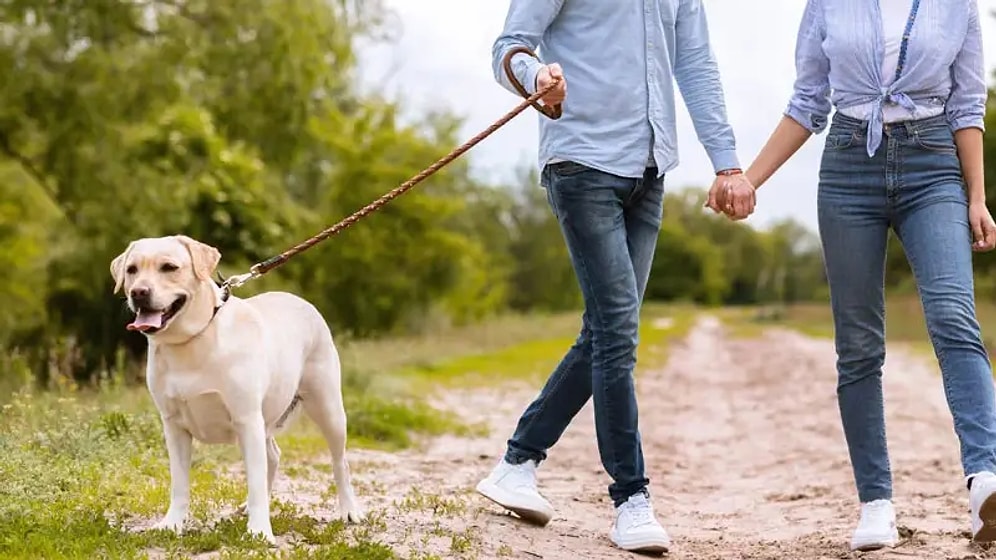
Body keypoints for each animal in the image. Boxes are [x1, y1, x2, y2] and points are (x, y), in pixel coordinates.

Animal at [111, 235, 366, 544]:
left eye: (169, 267)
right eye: (132, 270)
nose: (138, 292)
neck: (191, 340)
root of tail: (299, 299)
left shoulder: (246, 419)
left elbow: (254, 478)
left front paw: (259, 532)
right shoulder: (174, 426)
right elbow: (179, 483)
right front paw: (172, 524)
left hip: (327, 408)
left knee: (340, 462)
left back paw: (349, 510)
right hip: (267, 419)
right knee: (273, 456)